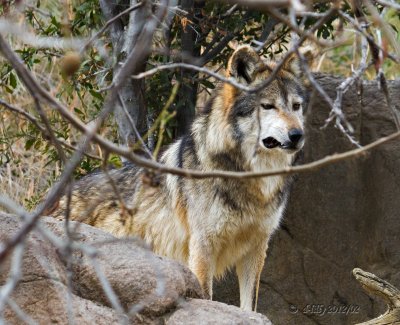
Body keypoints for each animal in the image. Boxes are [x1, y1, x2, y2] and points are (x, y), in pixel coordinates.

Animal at [50, 46, 310, 312]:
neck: (250, 176)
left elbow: (249, 308)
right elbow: (206, 297)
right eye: (267, 106)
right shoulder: (203, 246)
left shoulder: (256, 248)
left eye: (296, 106)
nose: (297, 135)